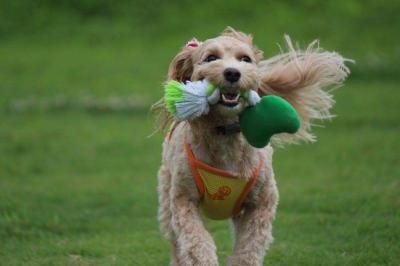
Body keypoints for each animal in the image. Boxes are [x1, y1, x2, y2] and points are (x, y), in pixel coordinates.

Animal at [156, 27, 350, 266]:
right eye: (211, 58)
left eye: (245, 59)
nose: (232, 73)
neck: (225, 134)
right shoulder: (184, 199)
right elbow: (197, 241)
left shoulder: (261, 202)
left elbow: (249, 247)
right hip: (166, 193)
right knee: (175, 240)